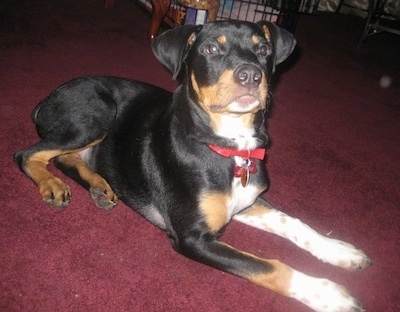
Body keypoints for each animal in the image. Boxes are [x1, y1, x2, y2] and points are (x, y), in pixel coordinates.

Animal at [15, 20, 372, 310]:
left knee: (64, 157)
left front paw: (340, 251)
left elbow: (293, 222)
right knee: (27, 154)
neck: (230, 148)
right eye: (212, 49)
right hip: (96, 113)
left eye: (263, 49)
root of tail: (47, 98)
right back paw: (53, 185)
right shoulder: (192, 237)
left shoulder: (244, 201)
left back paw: (100, 187)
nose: (250, 74)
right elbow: (269, 266)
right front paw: (328, 294)